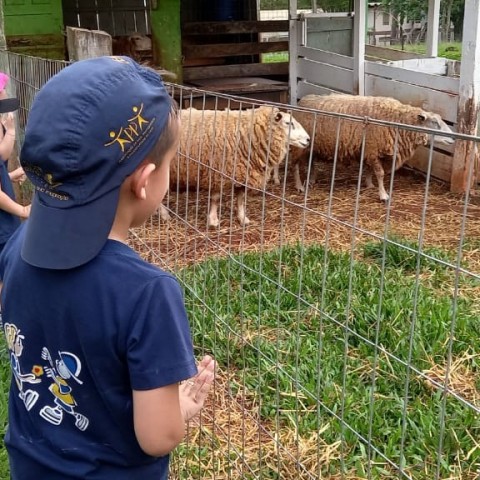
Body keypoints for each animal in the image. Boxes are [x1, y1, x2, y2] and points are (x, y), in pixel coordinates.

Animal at [161, 106, 310, 226]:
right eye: (288, 123)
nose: (308, 139)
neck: (248, 134)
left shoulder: (242, 173)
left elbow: (241, 199)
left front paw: (242, 218)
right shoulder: (217, 171)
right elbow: (216, 198)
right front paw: (213, 220)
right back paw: (164, 214)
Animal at [276, 94, 456, 201]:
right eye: (435, 122)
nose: (454, 138)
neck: (399, 121)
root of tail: (302, 100)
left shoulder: (371, 149)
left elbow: (371, 170)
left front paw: (369, 185)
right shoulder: (373, 147)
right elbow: (380, 173)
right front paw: (383, 195)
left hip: (313, 144)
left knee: (311, 162)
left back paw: (311, 180)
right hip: (300, 146)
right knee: (294, 165)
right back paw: (299, 186)